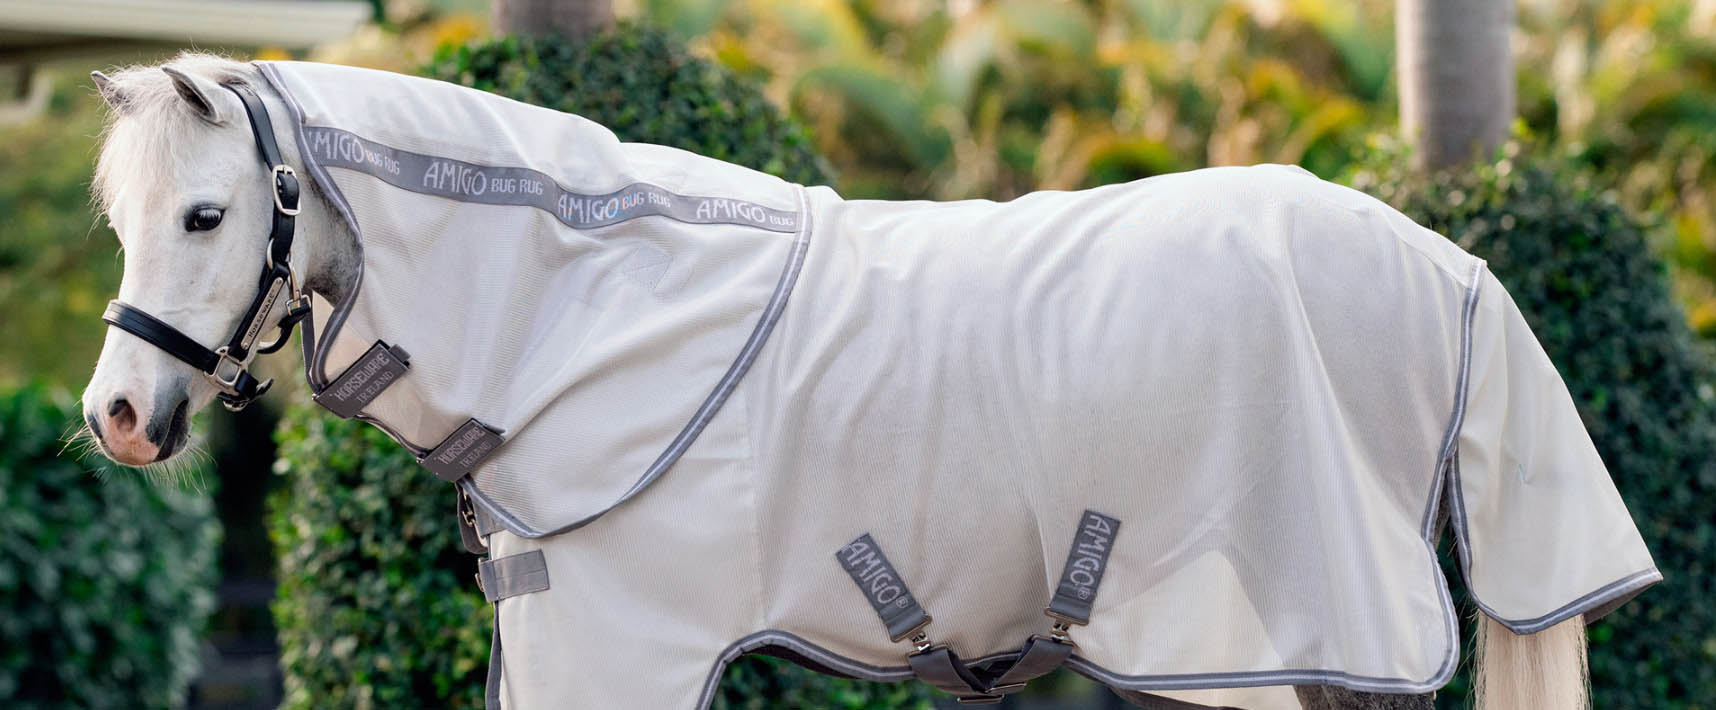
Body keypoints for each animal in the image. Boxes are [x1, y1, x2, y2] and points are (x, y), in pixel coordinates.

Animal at [78, 53, 1654, 709]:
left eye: (206, 214)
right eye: (118, 214)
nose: (118, 417)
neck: (585, 301)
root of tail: (1443, 262)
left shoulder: (622, 648)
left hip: (1244, 644)